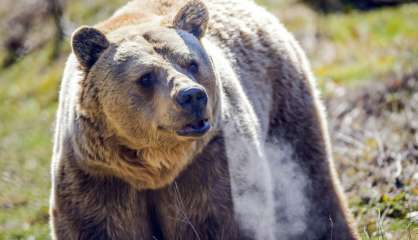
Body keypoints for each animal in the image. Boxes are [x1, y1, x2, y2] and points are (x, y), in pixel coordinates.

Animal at [49, 0, 360, 239]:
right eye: (145, 76)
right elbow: (94, 226)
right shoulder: (97, 178)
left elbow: (224, 220)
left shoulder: (210, 164)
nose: (192, 96)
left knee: (311, 184)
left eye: (191, 62)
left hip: (284, 109)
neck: (156, 168)